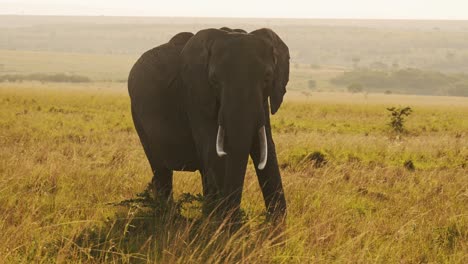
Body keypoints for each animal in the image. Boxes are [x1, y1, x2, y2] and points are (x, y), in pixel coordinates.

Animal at [128, 27, 288, 221]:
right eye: (214, 81)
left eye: (267, 78)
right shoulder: (195, 97)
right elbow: (214, 152)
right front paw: (225, 226)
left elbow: (266, 150)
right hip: (137, 116)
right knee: (161, 169)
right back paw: (168, 216)